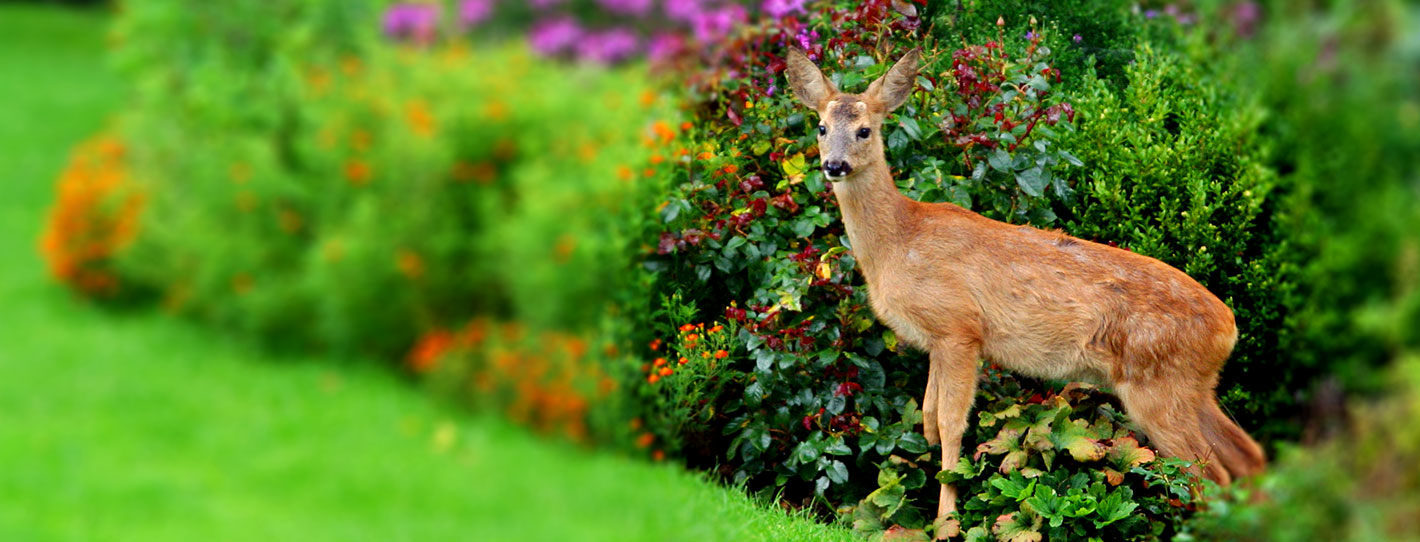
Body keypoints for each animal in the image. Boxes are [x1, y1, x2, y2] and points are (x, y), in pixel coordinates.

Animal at [789, 47, 1266, 533]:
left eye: (865, 130)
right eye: (821, 127)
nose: (834, 165)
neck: (899, 242)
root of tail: (1228, 327)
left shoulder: (959, 328)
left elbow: (951, 424)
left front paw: (948, 522)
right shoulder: (938, 342)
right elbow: (927, 417)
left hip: (1157, 384)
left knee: (1209, 475)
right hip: (1193, 384)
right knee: (1247, 456)